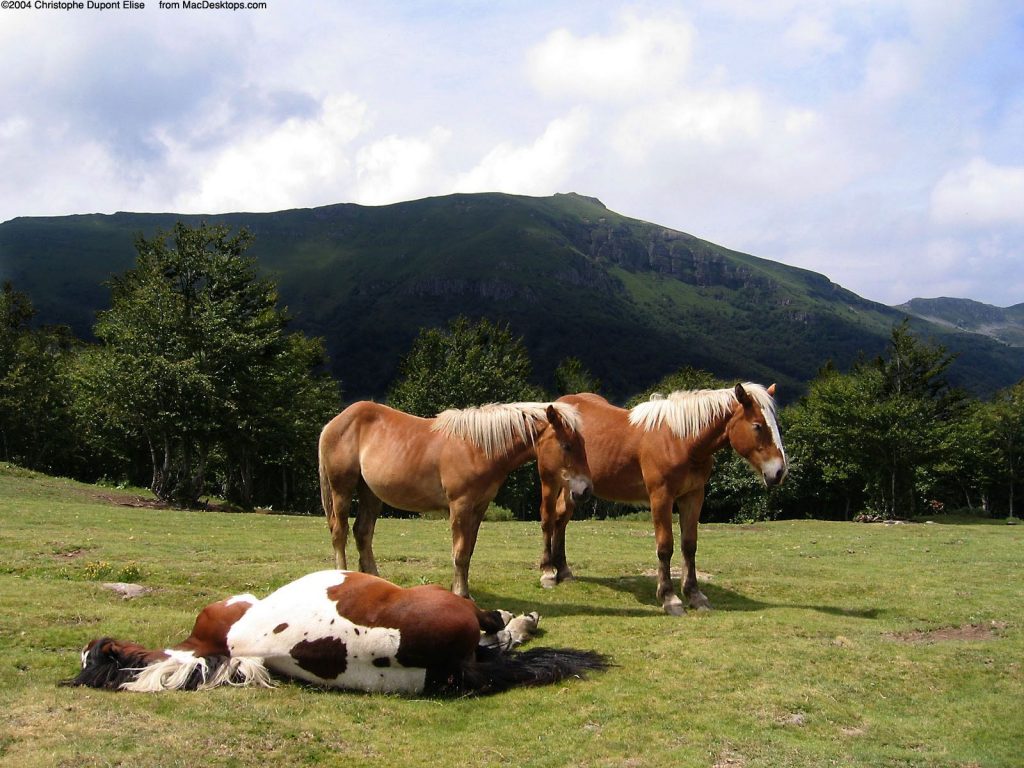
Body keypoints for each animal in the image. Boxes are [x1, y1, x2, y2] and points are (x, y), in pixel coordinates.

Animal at [319, 403, 593, 602]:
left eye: (583, 444)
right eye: (567, 446)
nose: (585, 490)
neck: (477, 448)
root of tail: (335, 423)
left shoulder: (479, 507)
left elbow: (468, 551)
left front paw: (462, 589)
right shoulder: (460, 506)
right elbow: (459, 552)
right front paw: (461, 594)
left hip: (370, 494)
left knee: (362, 533)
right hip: (342, 490)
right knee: (340, 532)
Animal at [540, 385, 786, 618]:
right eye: (757, 426)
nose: (779, 472)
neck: (681, 440)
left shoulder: (693, 496)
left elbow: (689, 545)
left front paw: (695, 595)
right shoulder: (661, 497)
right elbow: (665, 546)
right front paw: (670, 598)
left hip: (574, 489)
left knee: (560, 520)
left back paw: (563, 571)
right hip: (551, 483)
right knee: (548, 520)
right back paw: (547, 572)